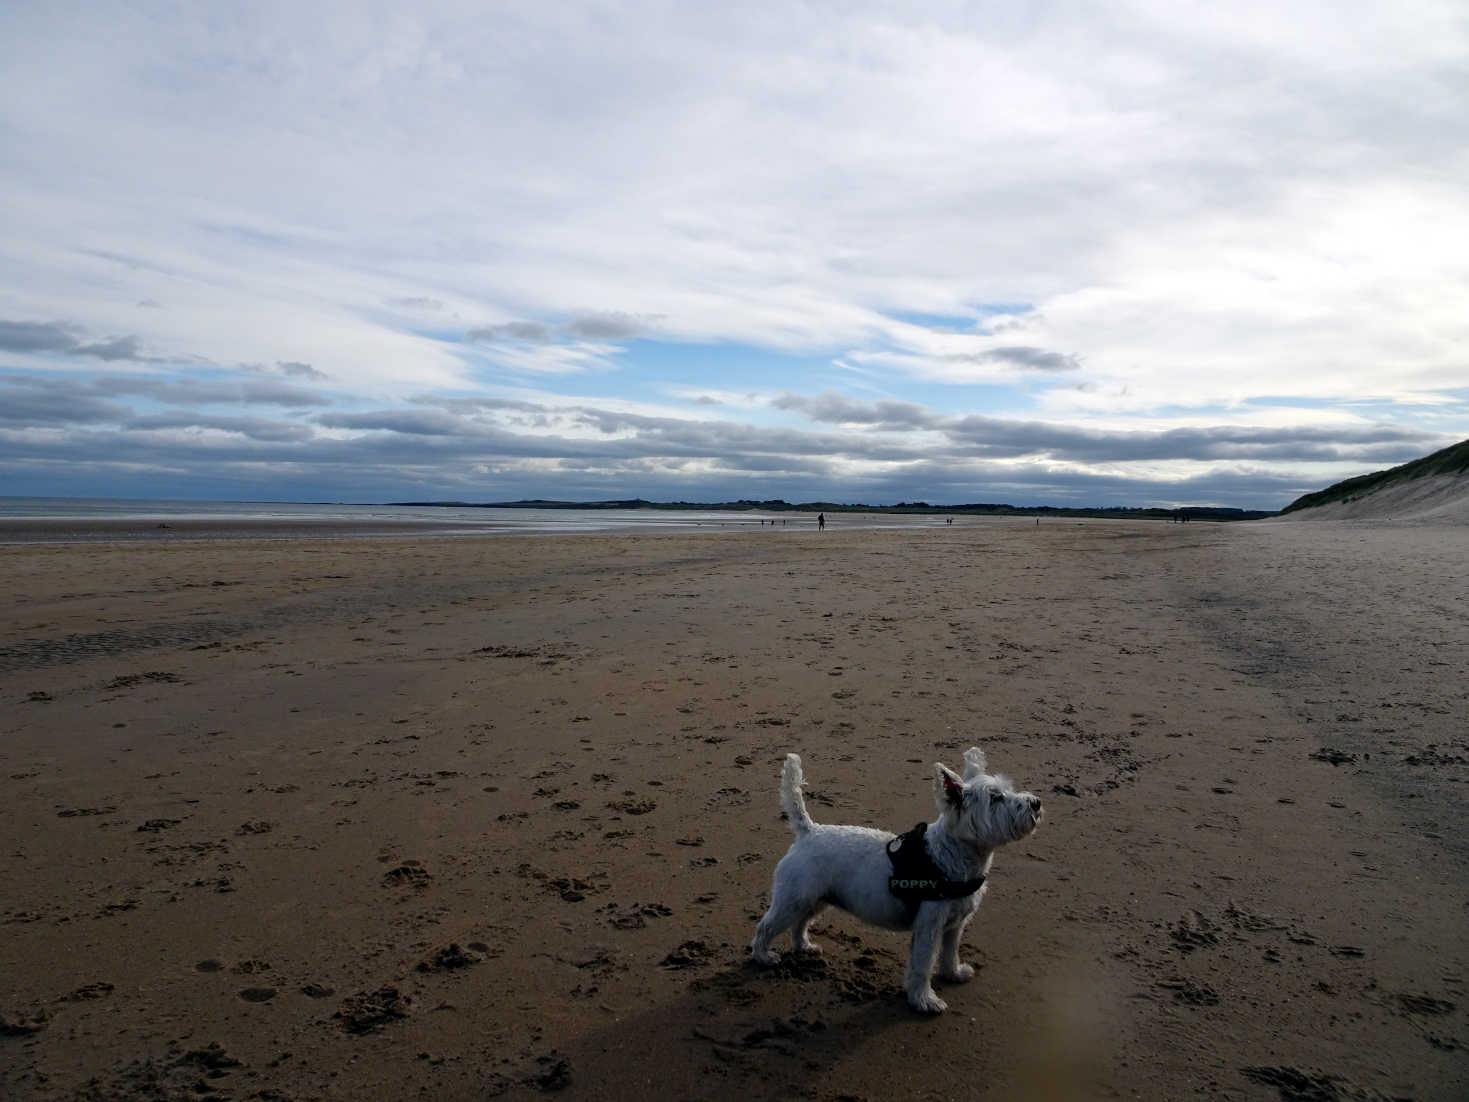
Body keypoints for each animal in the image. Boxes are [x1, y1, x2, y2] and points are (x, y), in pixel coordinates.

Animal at [752, 752, 1040, 1016]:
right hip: (792, 899)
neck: (949, 855)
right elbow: (922, 965)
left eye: (1008, 789)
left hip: (816, 899)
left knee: (800, 923)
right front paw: (924, 1001)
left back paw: (804, 946)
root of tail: (809, 831)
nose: (1036, 802)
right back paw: (763, 957)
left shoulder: (955, 925)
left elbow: (950, 953)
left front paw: (955, 973)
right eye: (995, 798)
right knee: (766, 926)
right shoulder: (929, 926)